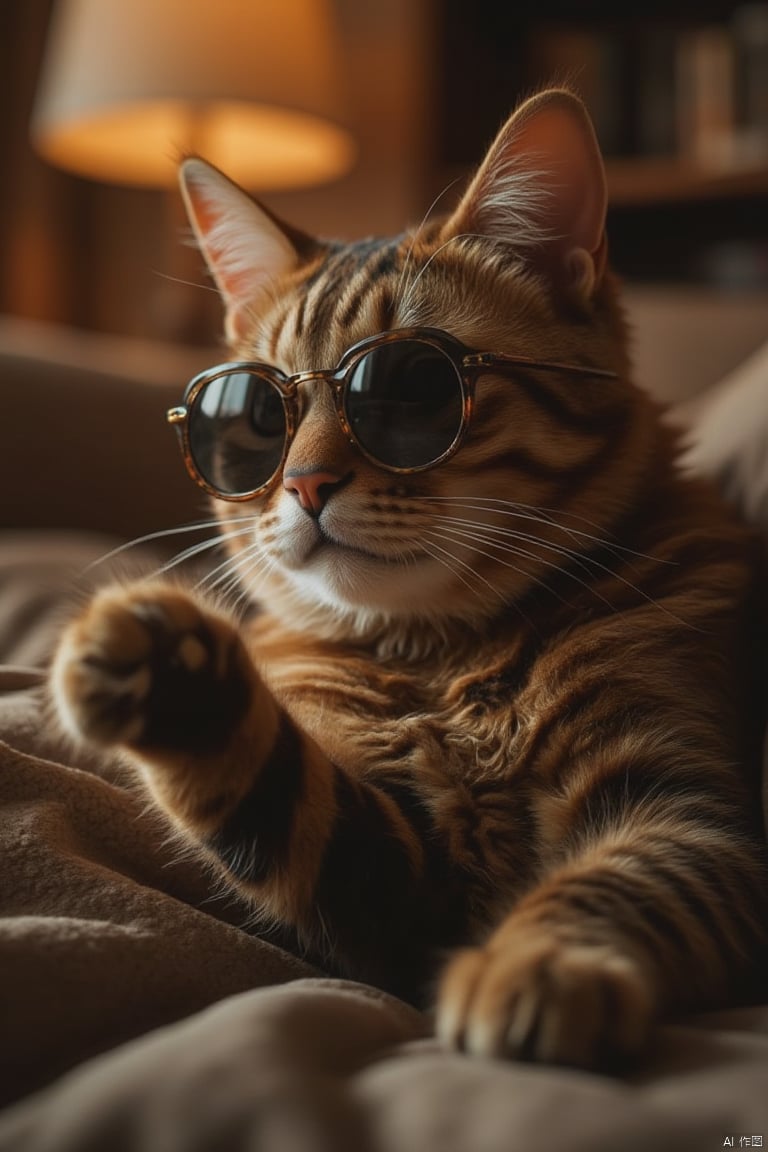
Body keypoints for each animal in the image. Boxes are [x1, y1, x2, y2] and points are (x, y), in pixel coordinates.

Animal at [50, 89, 764, 1069]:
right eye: (254, 418)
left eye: (409, 389)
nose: (306, 483)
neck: (445, 657)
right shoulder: (401, 874)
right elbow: (272, 784)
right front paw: (171, 672)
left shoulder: (693, 810)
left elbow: (616, 884)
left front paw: (539, 964)